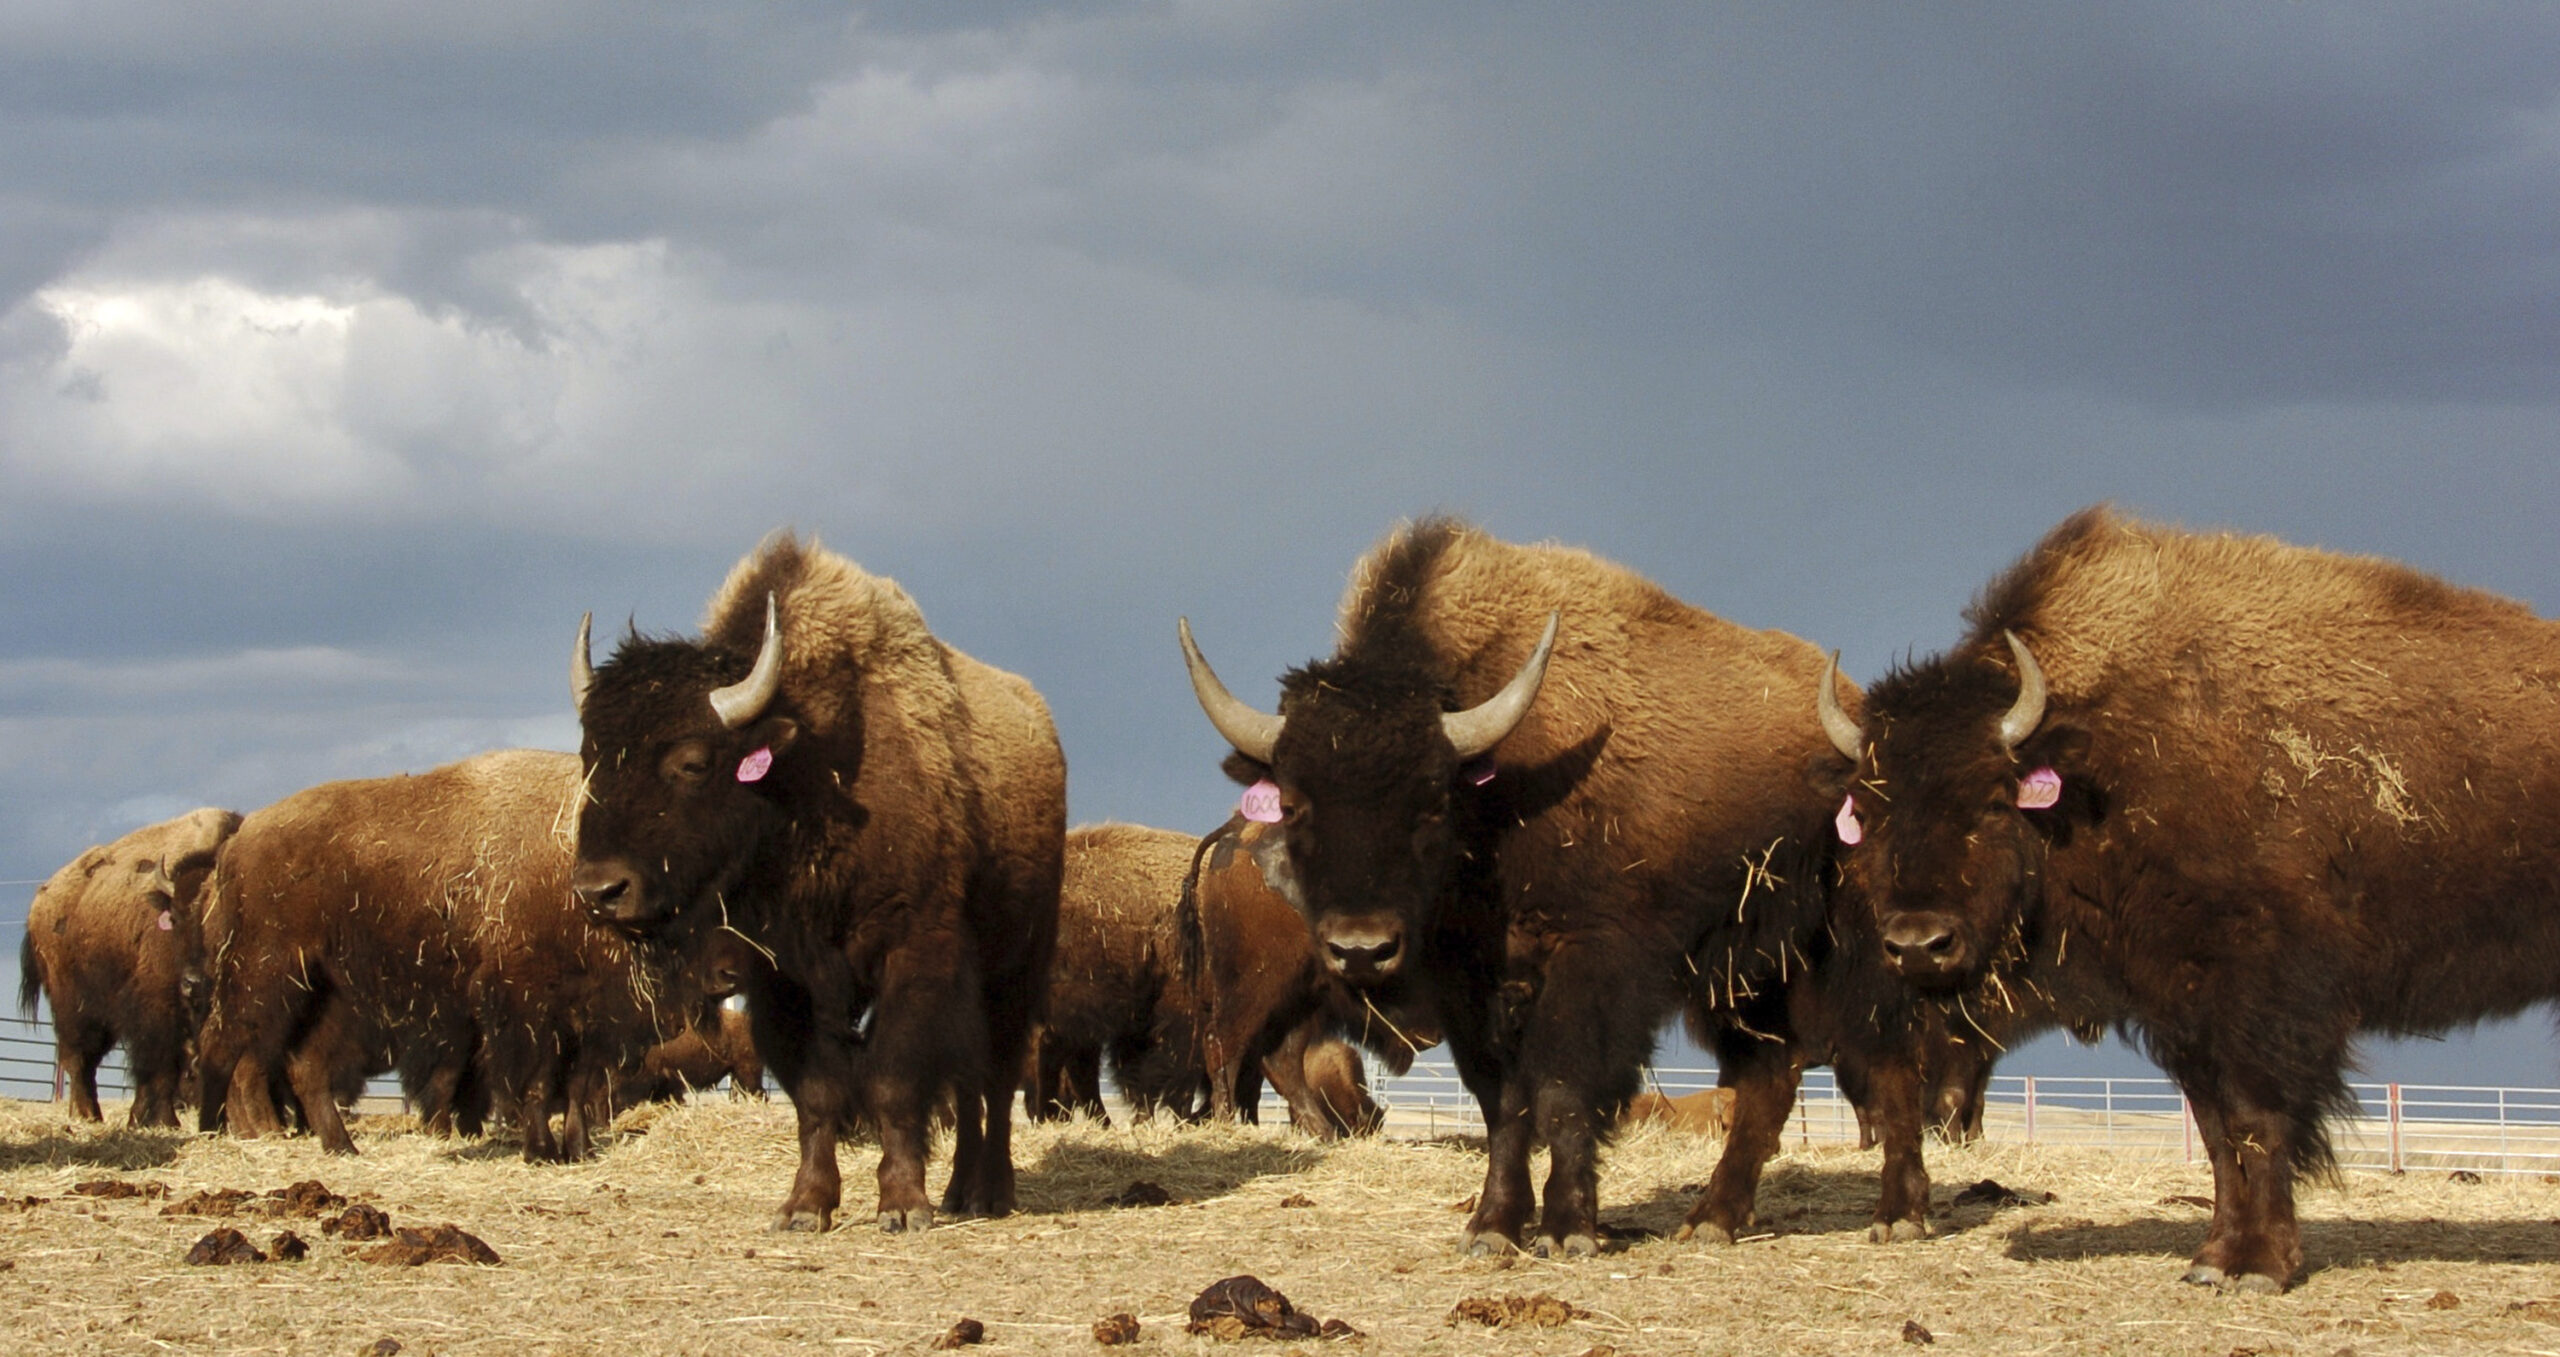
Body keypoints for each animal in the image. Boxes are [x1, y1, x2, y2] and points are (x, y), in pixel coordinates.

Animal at [18, 803, 240, 1121]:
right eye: (176, 917)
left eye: (223, 917)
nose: (193, 983)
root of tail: (40, 900)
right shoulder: (158, 1009)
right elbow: (162, 1067)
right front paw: (164, 1121)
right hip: (74, 1006)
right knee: (77, 1058)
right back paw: (88, 1114)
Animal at [568, 532, 1059, 1228]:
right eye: (590, 757)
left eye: (692, 762)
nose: (600, 892)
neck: (805, 774)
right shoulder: (780, 980)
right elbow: (817, 1093)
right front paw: (806, 1207)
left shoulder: (912, 953)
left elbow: (894, 1080)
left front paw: (903, 1206)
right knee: (969, 1085)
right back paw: (961, 1191)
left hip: (1015, 969)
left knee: (992, 1078)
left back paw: (990, 1193)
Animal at [1177, 514, 1935, 1244]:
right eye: (1294, 803)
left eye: (1432, 801)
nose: (1360, 948)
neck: (1500, 787)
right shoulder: (1470, 990)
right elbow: (1504, 1104)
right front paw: (1493, 1227)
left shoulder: (1588, 965)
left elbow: (1566, 1089)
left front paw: (1568, 1229)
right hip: (1746, 977)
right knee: (1770, 1079)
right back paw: (1711, 1221)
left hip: (1853, 954)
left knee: (1889, 1064)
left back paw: (1899, 1215)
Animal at [1832, 501, 2560, 1285]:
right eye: (1867, 811)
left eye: (1995, 800)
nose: (1917, 944)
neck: (2103, 758)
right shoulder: (2183, 1012)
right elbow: (2217, 1135)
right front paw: (2214, 1257)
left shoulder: (2261, 1005)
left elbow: (2256, 1123)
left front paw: (2261, 1264)